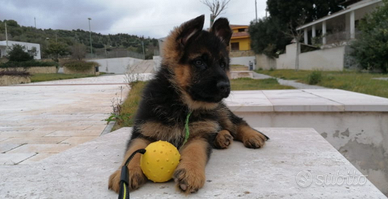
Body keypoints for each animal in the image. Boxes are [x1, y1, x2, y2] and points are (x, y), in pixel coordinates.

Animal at [107, 15, 268, 194]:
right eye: (199, 62)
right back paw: (222, 137)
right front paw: (126, 173)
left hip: (220, 111)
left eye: (222, 64)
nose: (226, 86)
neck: (181, 105)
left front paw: (190, 172)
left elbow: (195, 152)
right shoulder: (143, 132)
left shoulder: (199, 136)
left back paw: (251, 135)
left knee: (236, 122)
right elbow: (133, 152)